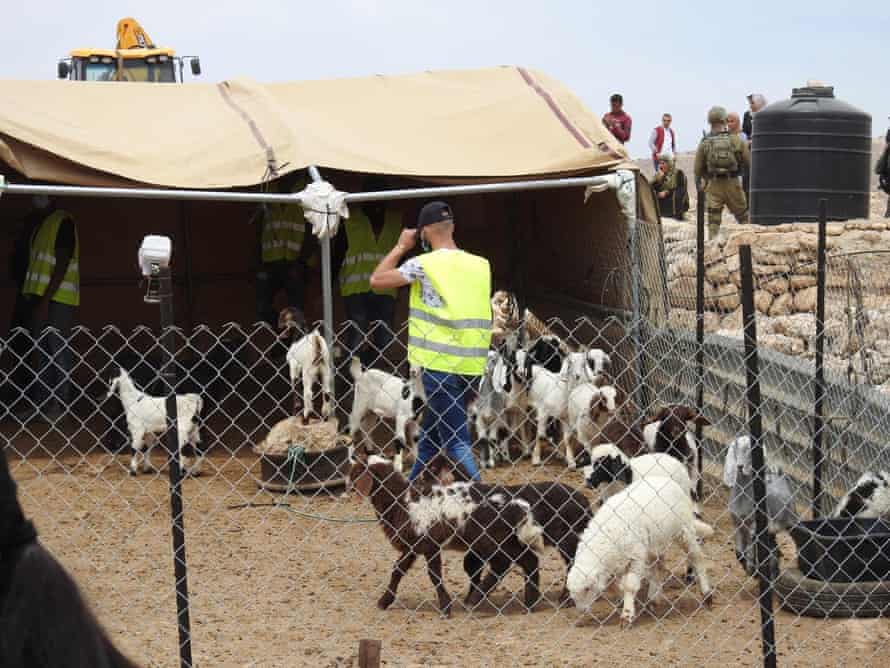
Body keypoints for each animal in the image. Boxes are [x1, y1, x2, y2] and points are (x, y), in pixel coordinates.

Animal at [346, 454, 540, 616]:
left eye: (357, 471)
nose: (347, 489)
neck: (401, 501)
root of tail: (517, 505)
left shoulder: (429, 544)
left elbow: (434, 575)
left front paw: (445, 607)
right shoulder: (413, 545)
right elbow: (397, 570)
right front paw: (384, 601)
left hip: (493, 541)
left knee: (507, 564)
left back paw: (479, 599)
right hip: (505, 540)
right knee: (528, 560)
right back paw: (530, 602)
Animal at [568, 474, 716, 628]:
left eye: (587, 588)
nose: (581, 610)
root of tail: (663, 479)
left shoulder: (635, 556)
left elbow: (629, 586)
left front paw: (627, 616)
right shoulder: (620, 559)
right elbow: (620, 585)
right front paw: (624, 603)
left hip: (684, 530)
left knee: (697, 557)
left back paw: (707, 595)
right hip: (654, 543)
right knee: (658, 567)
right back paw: (653, 599)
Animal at [720, 436, 796, 576]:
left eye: (750, 450)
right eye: (735, 448)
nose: (740, 466)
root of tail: (777, 473)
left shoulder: (754, 525)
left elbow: (751, 548)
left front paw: (751, 568)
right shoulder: (737, 523)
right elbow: (739, 552)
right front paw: (745, 565)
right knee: (772, 546)